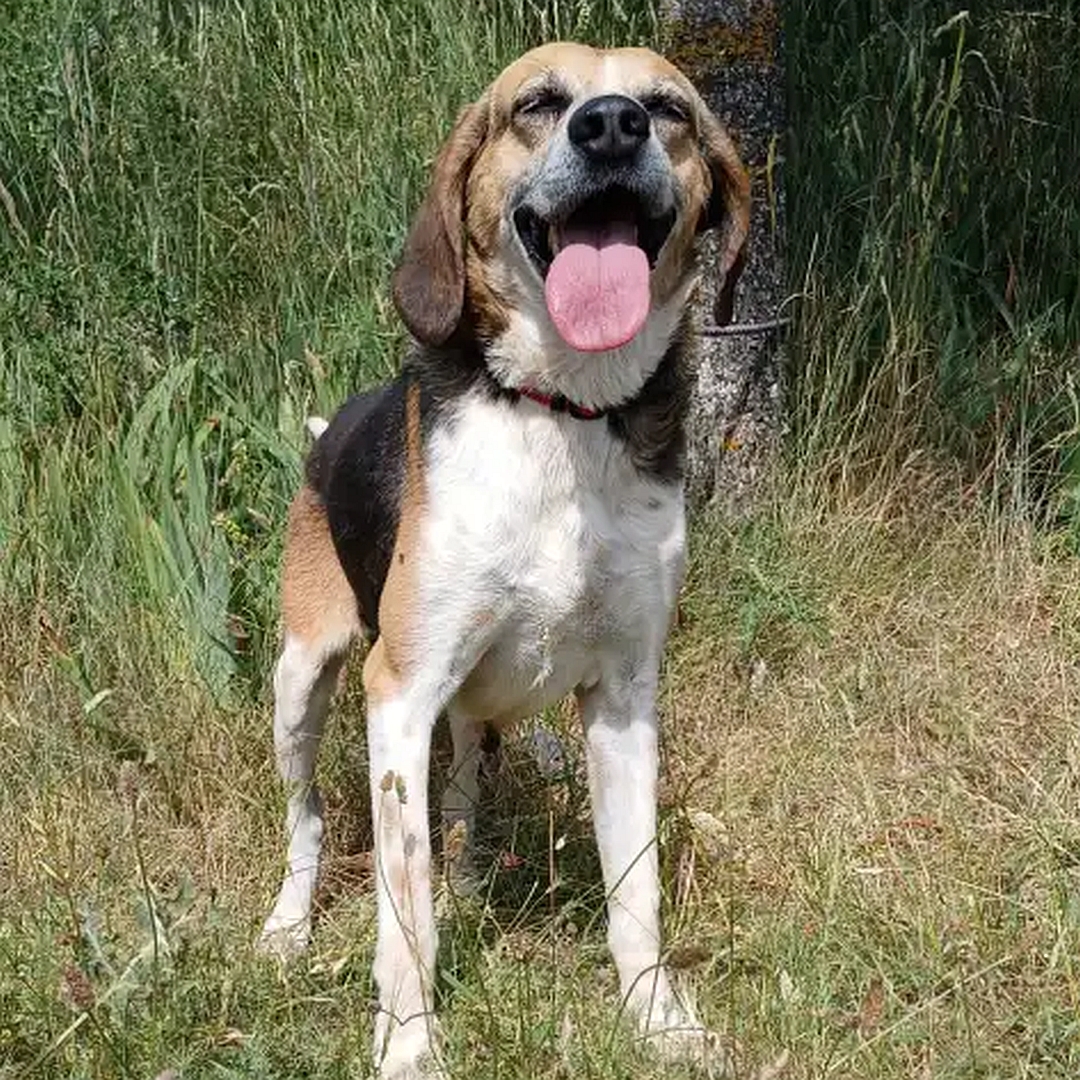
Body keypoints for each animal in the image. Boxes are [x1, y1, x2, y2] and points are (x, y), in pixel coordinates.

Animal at [261, 39, 751, 1080]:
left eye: (669, 109)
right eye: (538, 103)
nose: (612, 127)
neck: (564, 411)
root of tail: (329, 438)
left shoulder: (624, 698)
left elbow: (637, 890)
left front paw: (657, 1020)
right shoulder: (399, 692)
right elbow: (403, 915)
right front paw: (409, 1046)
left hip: (470, 719)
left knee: (459, 802)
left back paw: (470, 886)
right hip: (302, 682)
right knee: (309, 818)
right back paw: (287, 926)